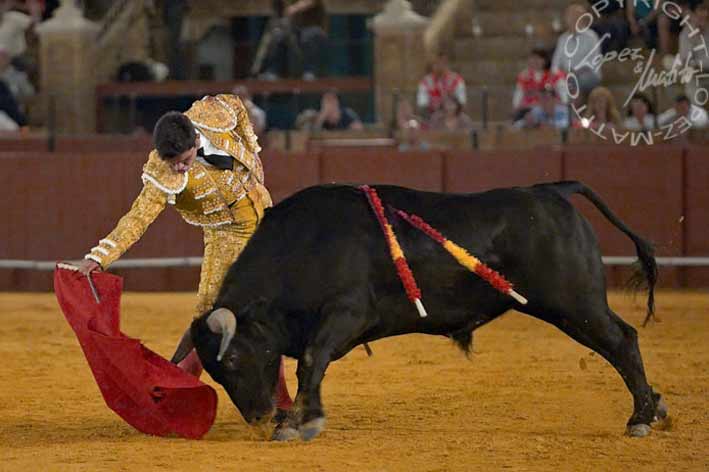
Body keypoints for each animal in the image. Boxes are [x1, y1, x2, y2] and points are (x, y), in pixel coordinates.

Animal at [170, 182, 664, 442]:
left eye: (234, 357)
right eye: (215, 371)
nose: (258, 417)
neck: (303, 247)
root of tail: (551, 189)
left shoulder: (348, 314)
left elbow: (311, 361)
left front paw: (299, 422)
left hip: (574, 303)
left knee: (622, 341)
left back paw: (641, 417)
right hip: (570, 306)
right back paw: (655, 408)